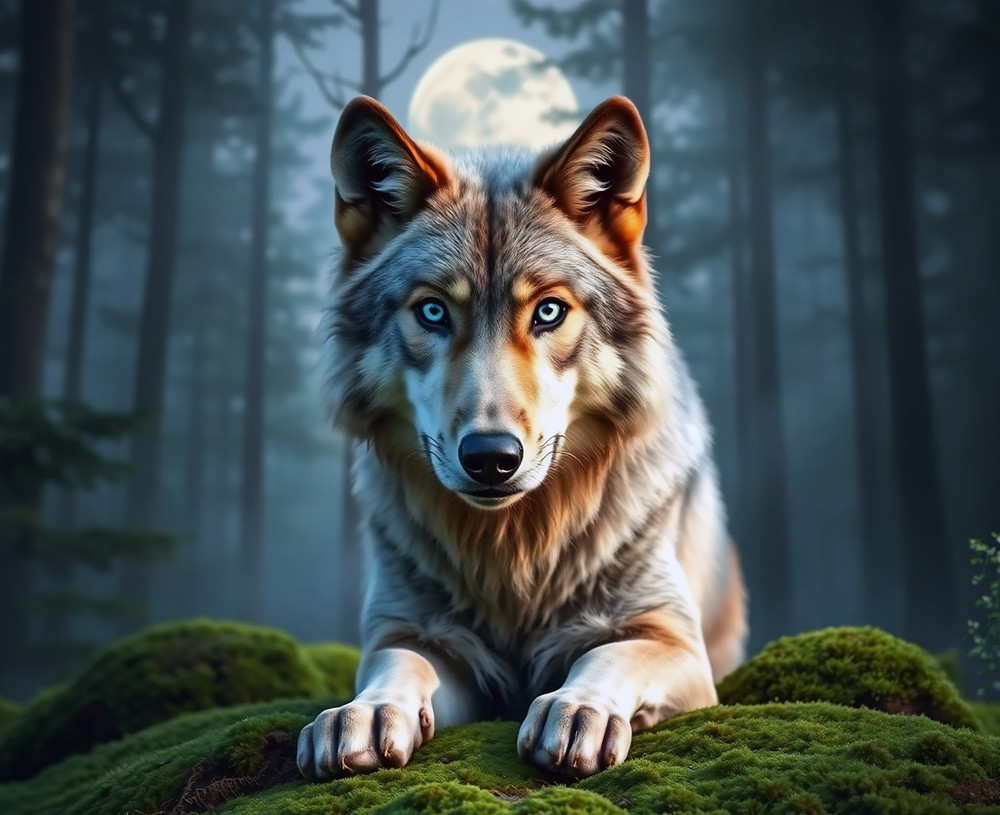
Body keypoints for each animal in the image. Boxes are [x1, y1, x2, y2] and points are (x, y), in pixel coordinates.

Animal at [296, 94, 748, 780]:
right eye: (433, 311)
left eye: (549, 311)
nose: (491, 458)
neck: (515, 550)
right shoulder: (415, 634)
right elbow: (399, 665)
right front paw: (365, 713)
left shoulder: (673, 642)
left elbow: (606, 655)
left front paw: (578, 708)